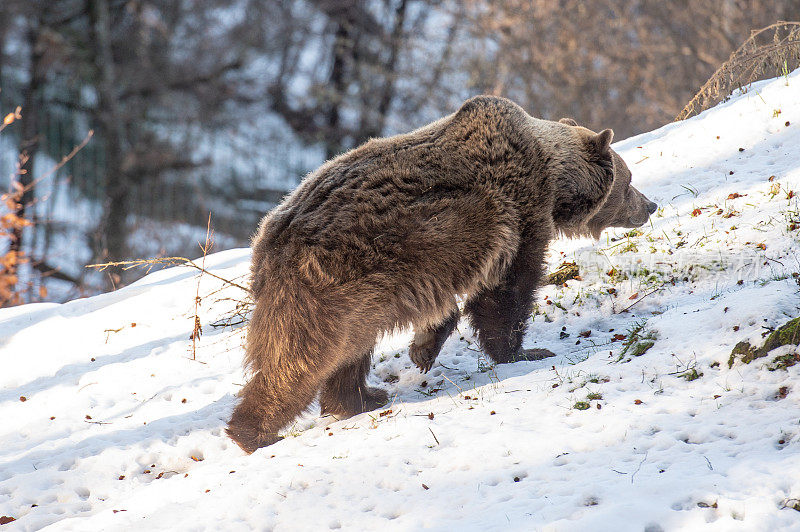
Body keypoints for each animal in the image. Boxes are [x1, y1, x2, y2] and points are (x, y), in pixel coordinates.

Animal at [225, 95, 656, 454]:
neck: (553, 179)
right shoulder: (517, 214)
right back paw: (253, 433)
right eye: (630, 179)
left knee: (348, 351)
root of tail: (268, 240)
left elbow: (450, 307)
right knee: (300, 359)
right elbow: (506, 292)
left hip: (356, 297)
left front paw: (424, 348)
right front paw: (523, 351)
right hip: (331, 284)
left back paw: (360, 398)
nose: (650, 205)